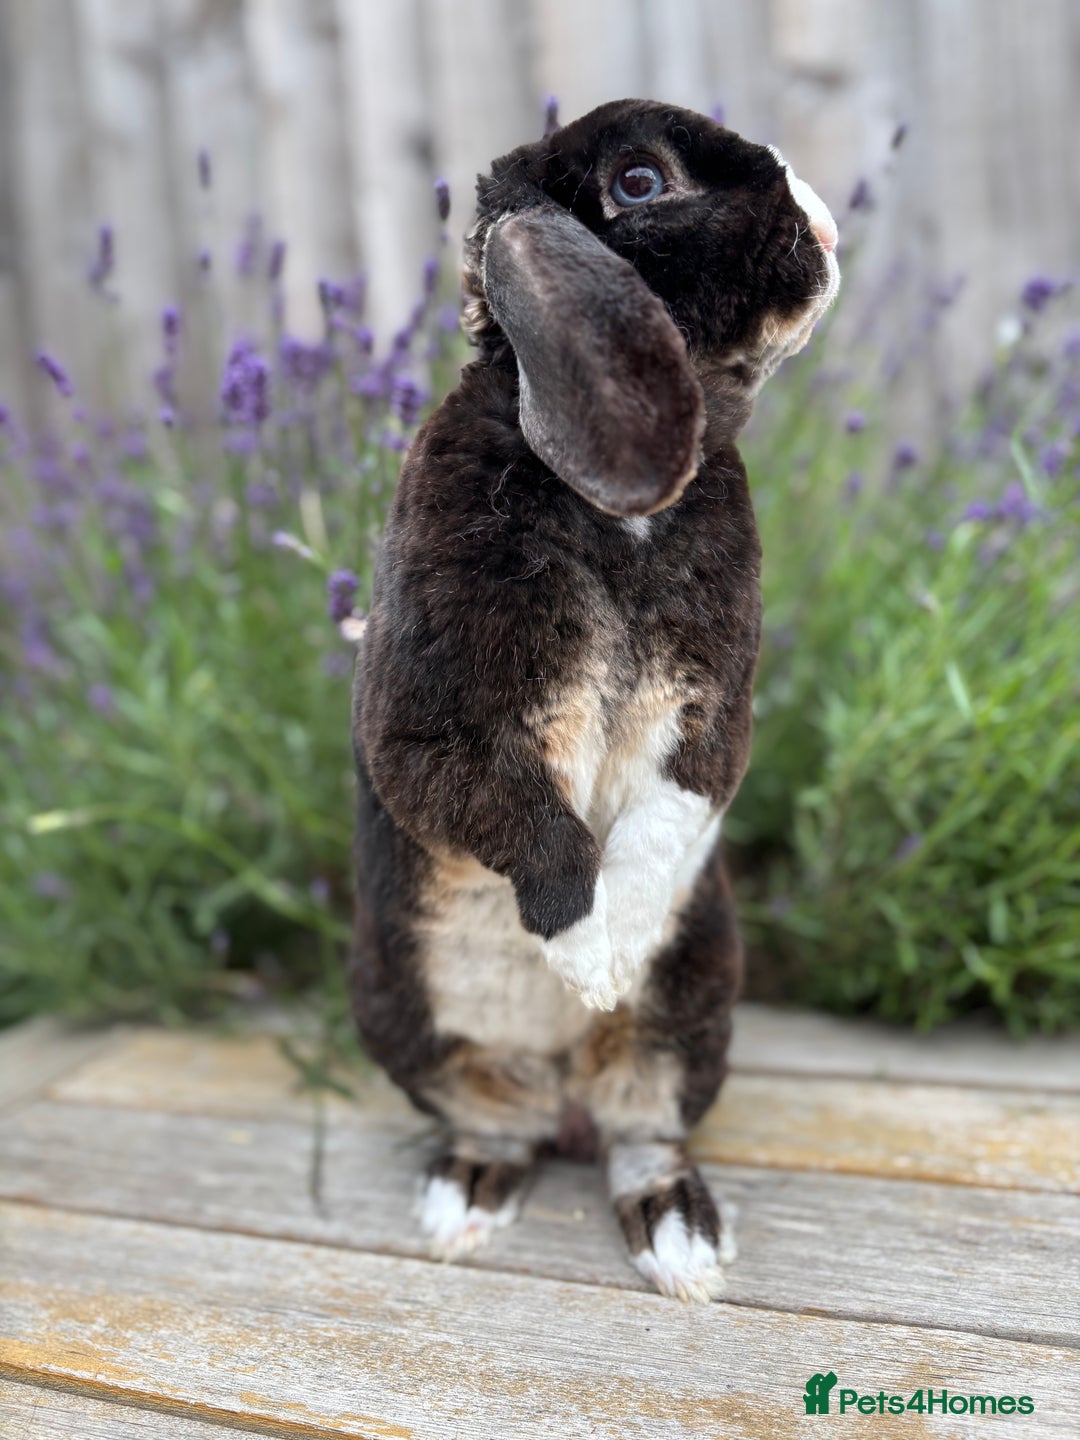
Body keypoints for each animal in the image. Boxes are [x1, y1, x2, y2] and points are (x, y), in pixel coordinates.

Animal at [350, 99, 839, 1302]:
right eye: (639, 182)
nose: (820, 215)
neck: (618, 516)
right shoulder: (427, 735)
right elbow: (539, 829)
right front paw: (582, 952)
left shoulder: (708, 727)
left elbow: (663, 826)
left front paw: (611, 959)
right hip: (410, 1023)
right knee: (503, 1124)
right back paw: (468, 1198)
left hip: (688, 1022)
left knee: (638, 1133)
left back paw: (680, 1236)